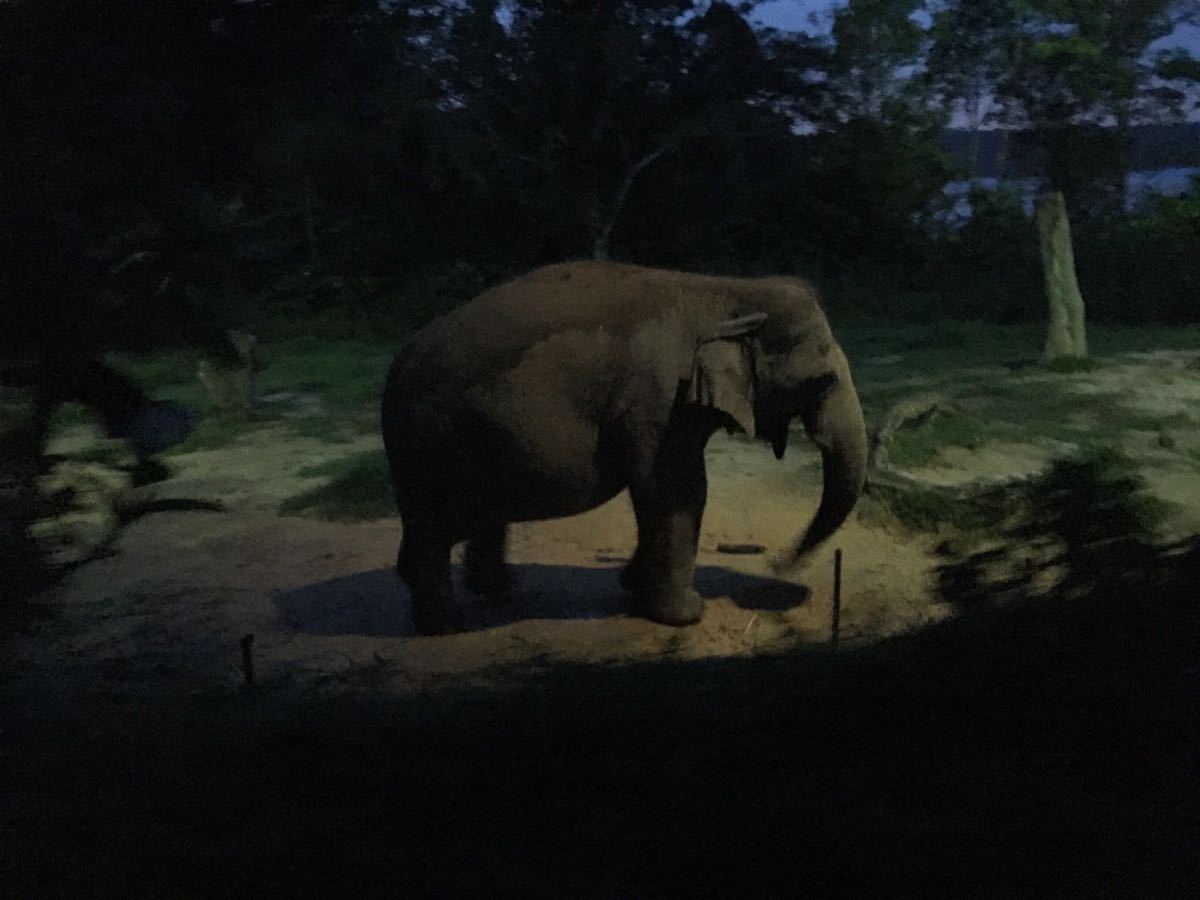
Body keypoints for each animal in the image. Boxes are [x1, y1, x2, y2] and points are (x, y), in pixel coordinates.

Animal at [384, 260, 864, 633]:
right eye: (822, 381)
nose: (779, 563)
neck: (726, 290)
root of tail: (398, 360)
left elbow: (658, 494)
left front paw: (633, 586)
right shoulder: (661, 399)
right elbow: (678, 489)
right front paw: (686, 615)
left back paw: (495, 589)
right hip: (428, 439)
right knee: (433, 529)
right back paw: (447, 625)